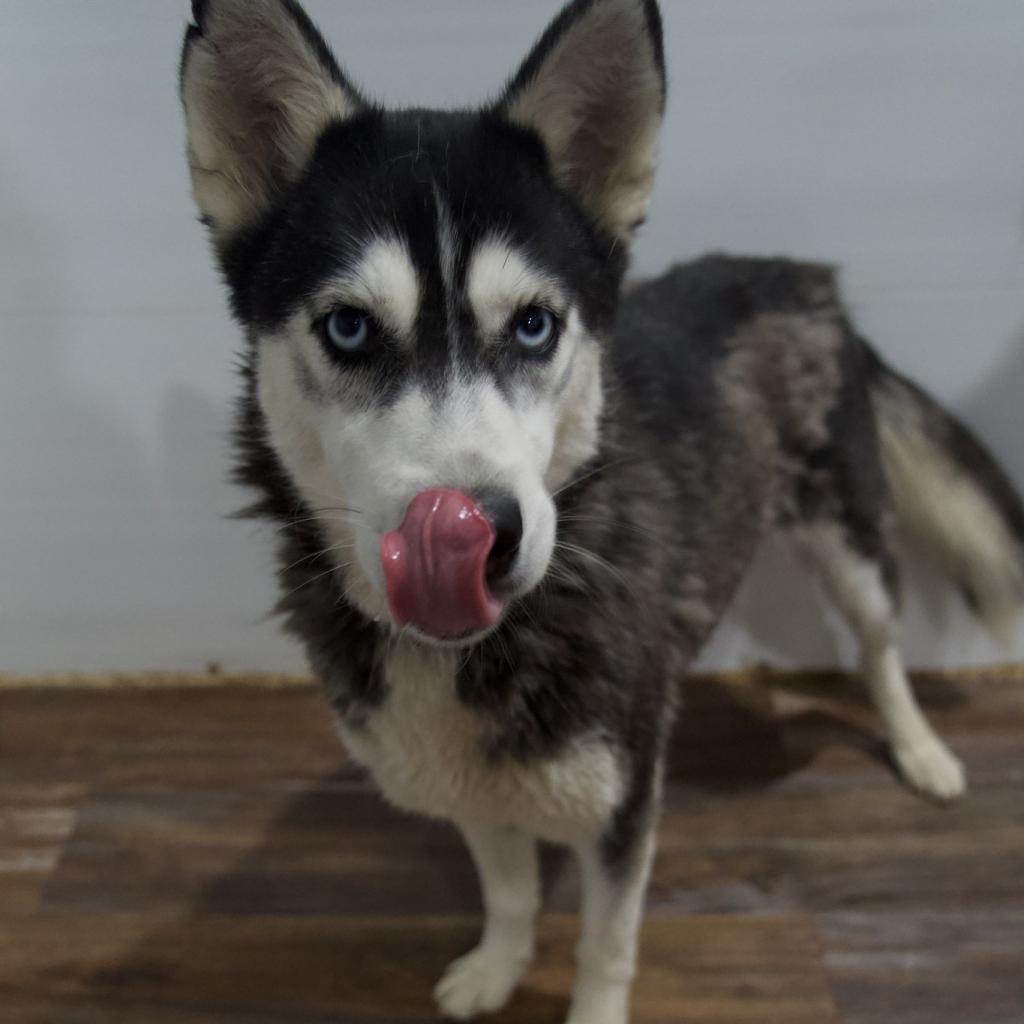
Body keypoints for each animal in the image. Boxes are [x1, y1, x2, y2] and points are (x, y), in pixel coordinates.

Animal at [180, 4, 1024, 1019]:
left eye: (535, 324)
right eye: (349, 327)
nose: (481, 534)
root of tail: (806, 279)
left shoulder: (624, 805)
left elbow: (606, 944)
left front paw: (589, 999)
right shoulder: (467, 778)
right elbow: (507, 890)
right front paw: (499, 966)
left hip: (848, 540)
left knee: (879, 646)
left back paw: (920, 748)